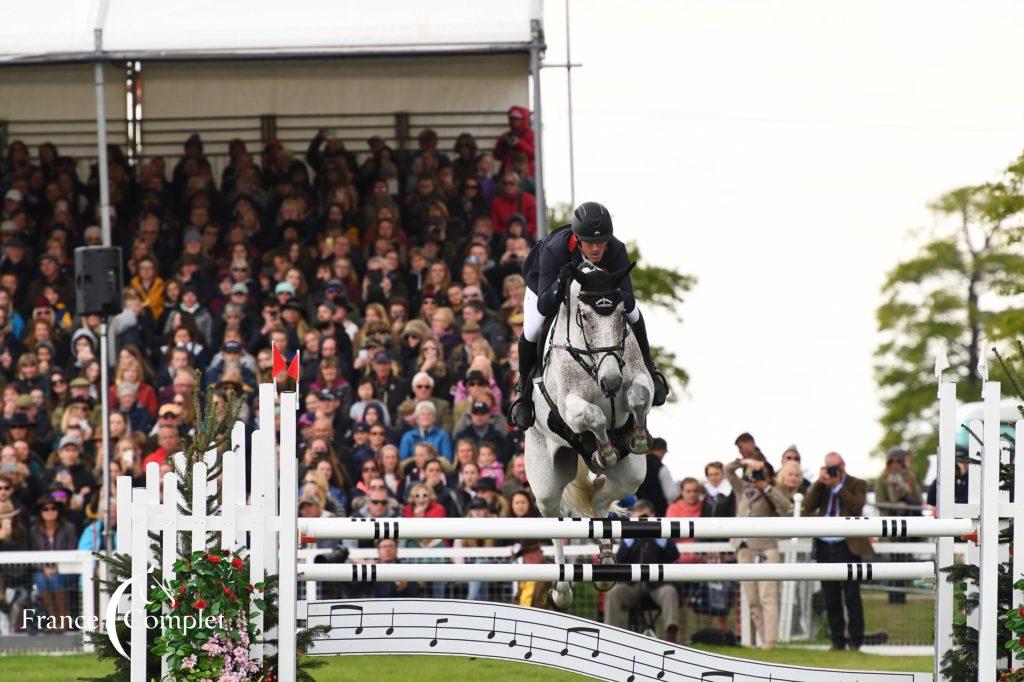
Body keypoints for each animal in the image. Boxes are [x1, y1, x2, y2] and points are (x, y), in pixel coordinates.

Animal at [524, 260, 651, 606]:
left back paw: (606, 560)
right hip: (544, 478)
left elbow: (640, 396)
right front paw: (604, 450)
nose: (611, 382)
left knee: (601, 500)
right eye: (585, 317)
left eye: (621, 315)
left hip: (630, 475)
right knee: (552, 517)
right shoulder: (569, 405)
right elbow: (592, 416)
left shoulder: (638, 378)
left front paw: (638, 437)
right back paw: (562, 589)